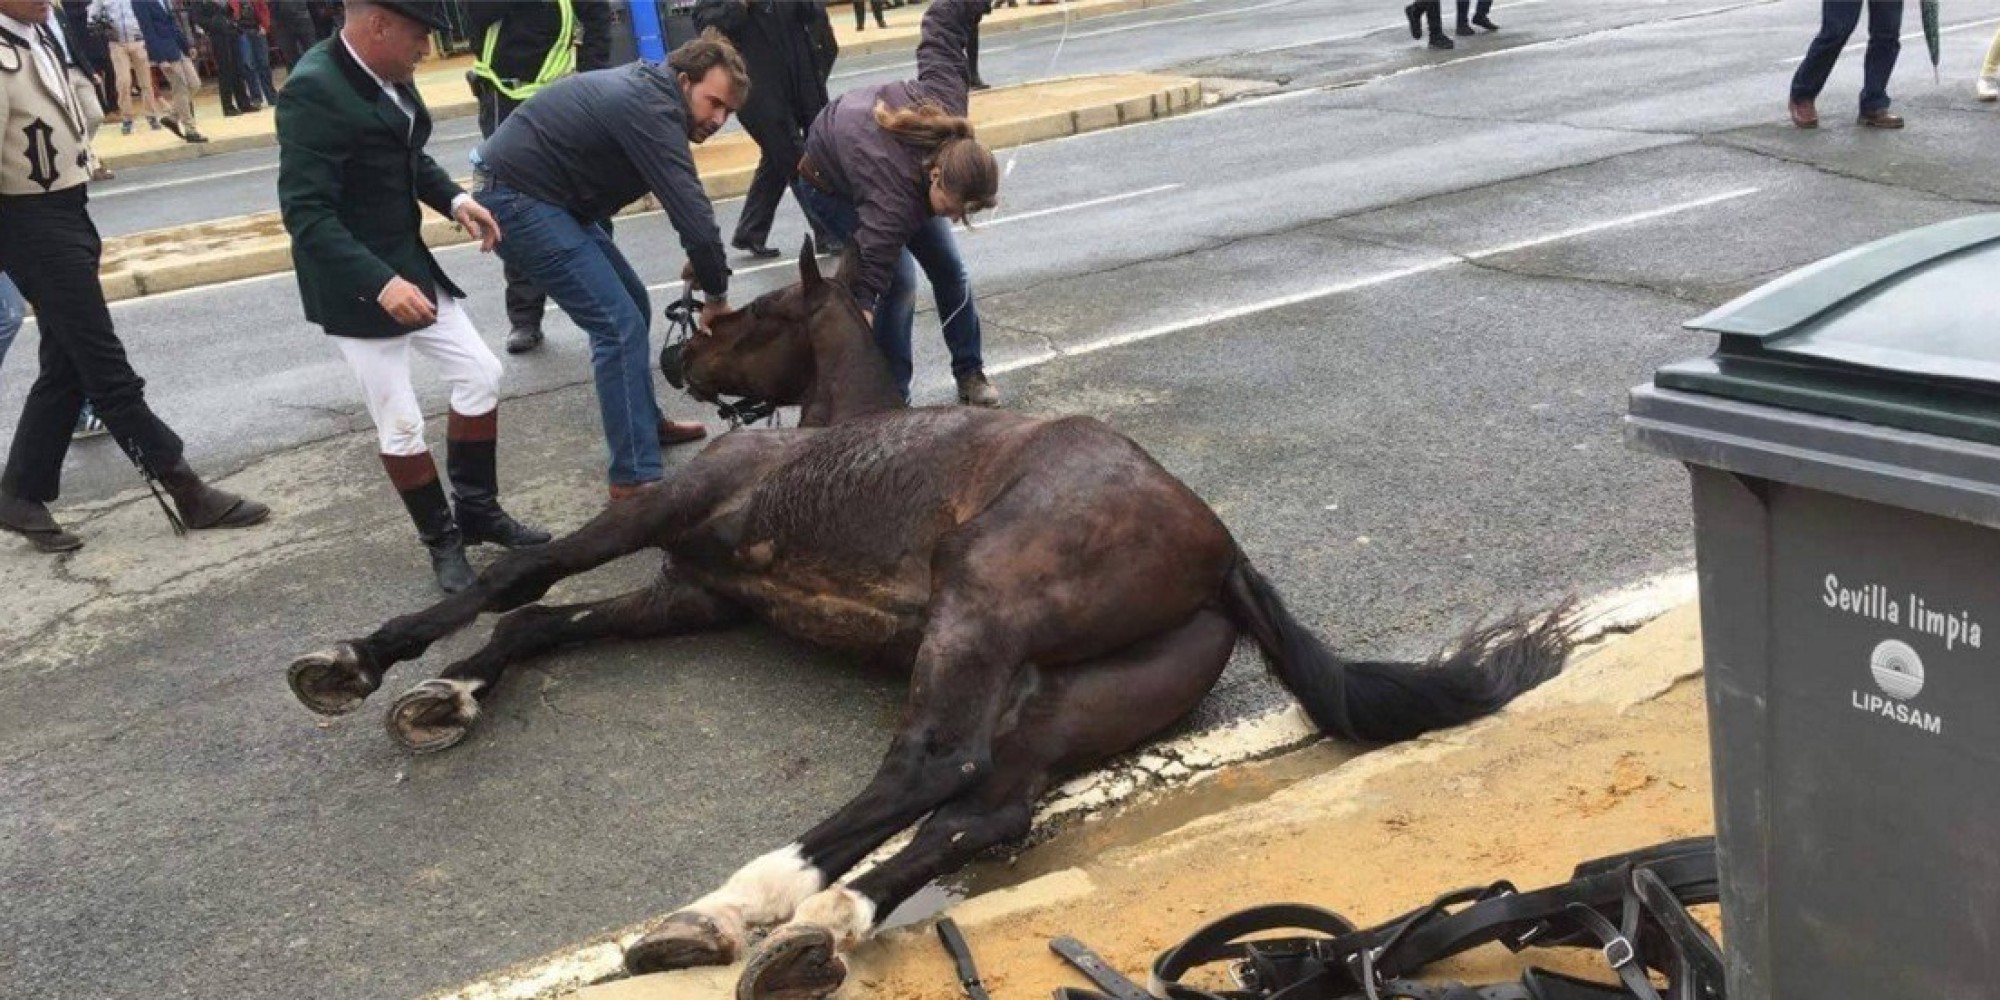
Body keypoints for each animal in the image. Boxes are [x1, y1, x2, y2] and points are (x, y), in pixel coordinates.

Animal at [286, 242, 1576, 1000]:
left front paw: (355, 662)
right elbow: (541, 628)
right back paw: (809, 925)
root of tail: (1219, 553)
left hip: (979, 609)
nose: (684, 363)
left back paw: (741, 907)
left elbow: (519, 577)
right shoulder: (694, 593)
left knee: (930, 762)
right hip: (1064, 699)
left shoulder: (660, 517)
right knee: (980, 806)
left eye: (756, 310)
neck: (821, 433)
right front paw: (444, 695)